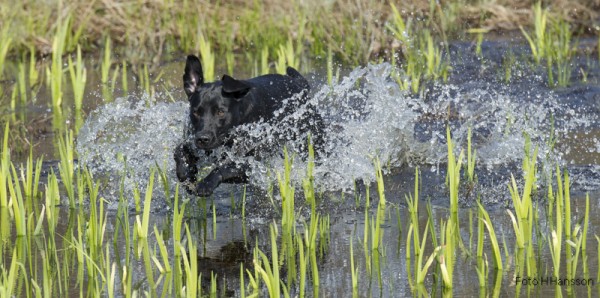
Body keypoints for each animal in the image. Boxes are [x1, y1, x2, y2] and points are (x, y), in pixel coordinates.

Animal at [175, 54, 318, 197]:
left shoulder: (250, 165)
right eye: (196, 112)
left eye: (220, 112)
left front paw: (206, 183)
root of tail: (299, 84)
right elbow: (179, 149)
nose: (202, 139)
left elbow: (224, 168)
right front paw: (186, 173)